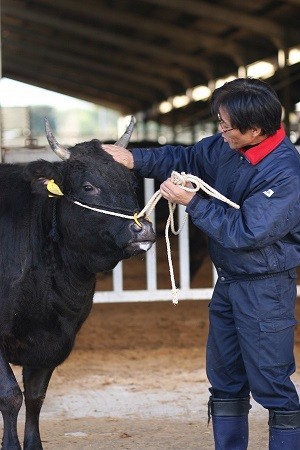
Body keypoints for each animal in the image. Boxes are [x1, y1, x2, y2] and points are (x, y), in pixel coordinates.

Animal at [0, 117, 155, 450]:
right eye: (88, 187)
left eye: (132, 184)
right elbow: (10, 396)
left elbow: (35, 398)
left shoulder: (52, 339)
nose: (143, 229)